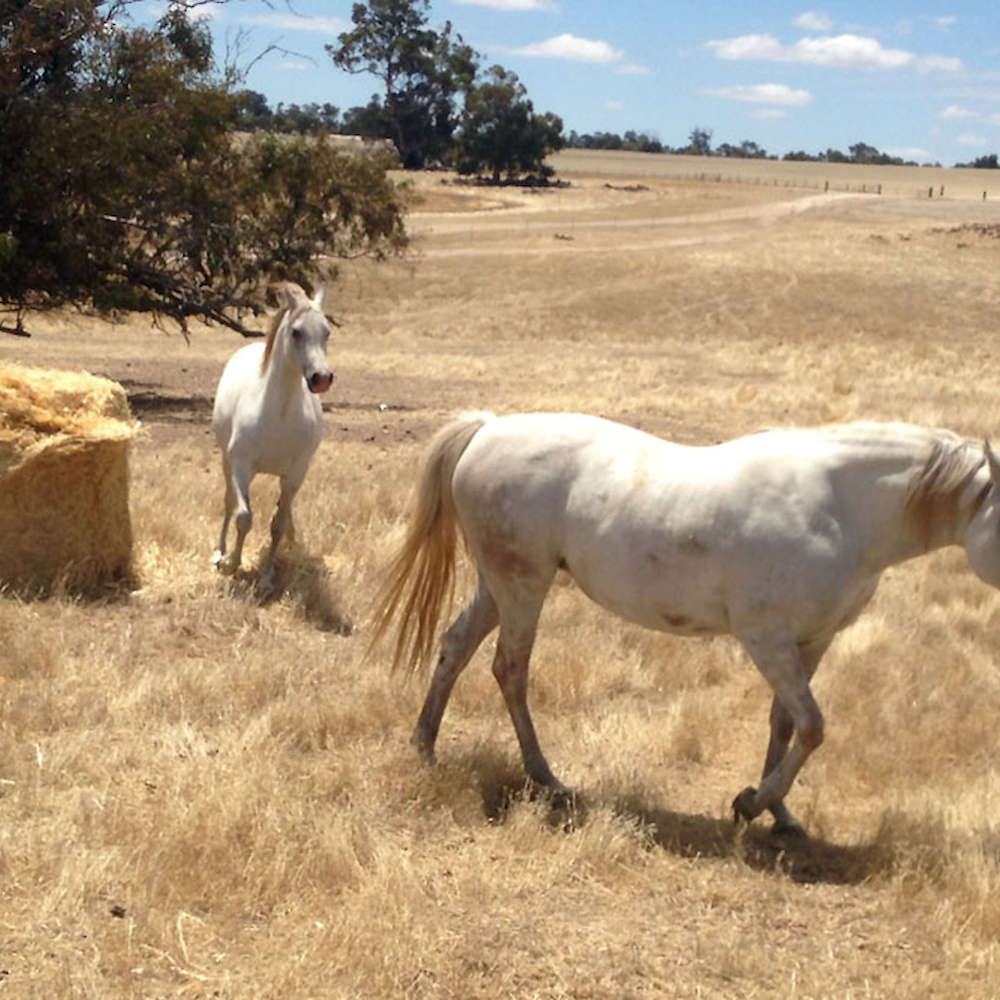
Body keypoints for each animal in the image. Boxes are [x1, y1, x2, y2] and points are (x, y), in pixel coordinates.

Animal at [211, 283, 333, 592]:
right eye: (296, 332)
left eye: (326, 332)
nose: (322, 378)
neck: (279, 414)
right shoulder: (241, 466)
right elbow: (243, 517)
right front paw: (232, 563)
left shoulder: (295, 473)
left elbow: (277, 524)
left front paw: (266, 577)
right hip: (226, 461)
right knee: (229, 502)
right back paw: (219, 552)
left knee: (283, 512)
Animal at [372, 412, 1000, 834]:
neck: (840, 507)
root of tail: (489, 428)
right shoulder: (766, 639)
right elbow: (813, 726)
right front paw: (750, 804)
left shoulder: (811, 640)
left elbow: (785, 723)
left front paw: (780, 814)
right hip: (523, 585)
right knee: (510, 669)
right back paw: (546, 776)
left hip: (499, 586)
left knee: (456, 647)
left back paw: (425, 745)